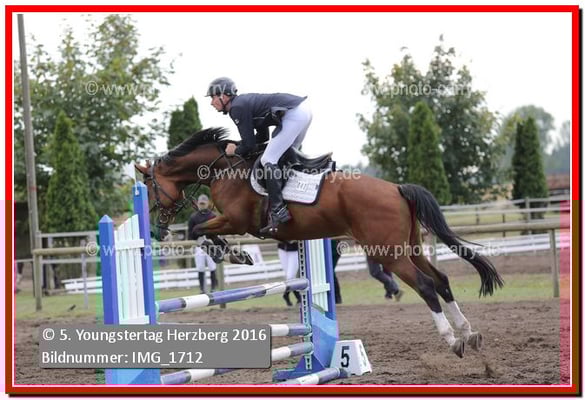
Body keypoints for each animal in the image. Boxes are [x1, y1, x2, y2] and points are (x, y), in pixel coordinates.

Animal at [135, 127, 504, 358]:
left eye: (150, 188)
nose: (157, 230)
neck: (224, 168)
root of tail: (398, 188)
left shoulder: (236, 221)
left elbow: (201, 231)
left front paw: (234, 255)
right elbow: (203, 231)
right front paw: (236, 254)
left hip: (388, 253)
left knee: (426, 285)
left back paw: (452, 340)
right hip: (408, 248)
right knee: (441, 280)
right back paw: (468, 332)